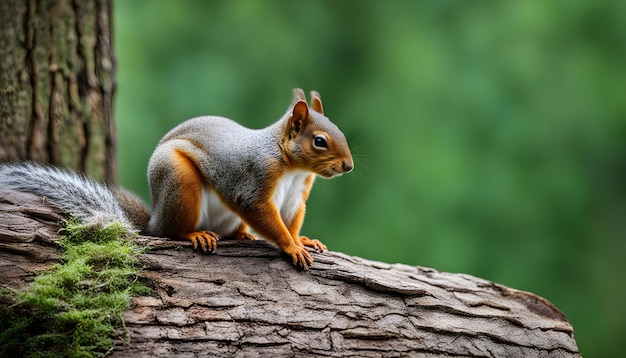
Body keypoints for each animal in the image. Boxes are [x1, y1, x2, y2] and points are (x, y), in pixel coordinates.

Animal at [0, 89, 352, 268]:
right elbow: (268, 218)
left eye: (339, 130)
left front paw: (302, 240)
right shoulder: (255, 182)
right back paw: (194, 235)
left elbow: (291, 220)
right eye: (320, 141)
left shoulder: (295, 196)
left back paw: (242, 235)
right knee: (173, 231)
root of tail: (154, 220)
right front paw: (291, 247)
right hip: (179, 183)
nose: (348, 166)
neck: (292, 168)